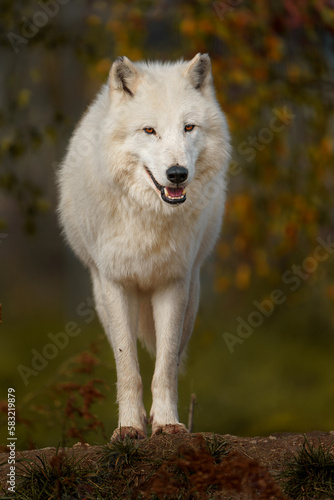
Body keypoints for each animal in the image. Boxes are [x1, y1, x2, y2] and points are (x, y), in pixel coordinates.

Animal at [56, 52, 230, 440]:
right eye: (149, 130)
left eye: (189, 128)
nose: (177, 173)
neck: (150, 215)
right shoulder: (116, 284)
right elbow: (128, 367)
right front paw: (129, 428)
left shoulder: (173, 284)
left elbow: (164, 367)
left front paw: (166, 423)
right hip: (103, 297)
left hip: (193, 298)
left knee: (175, 358)